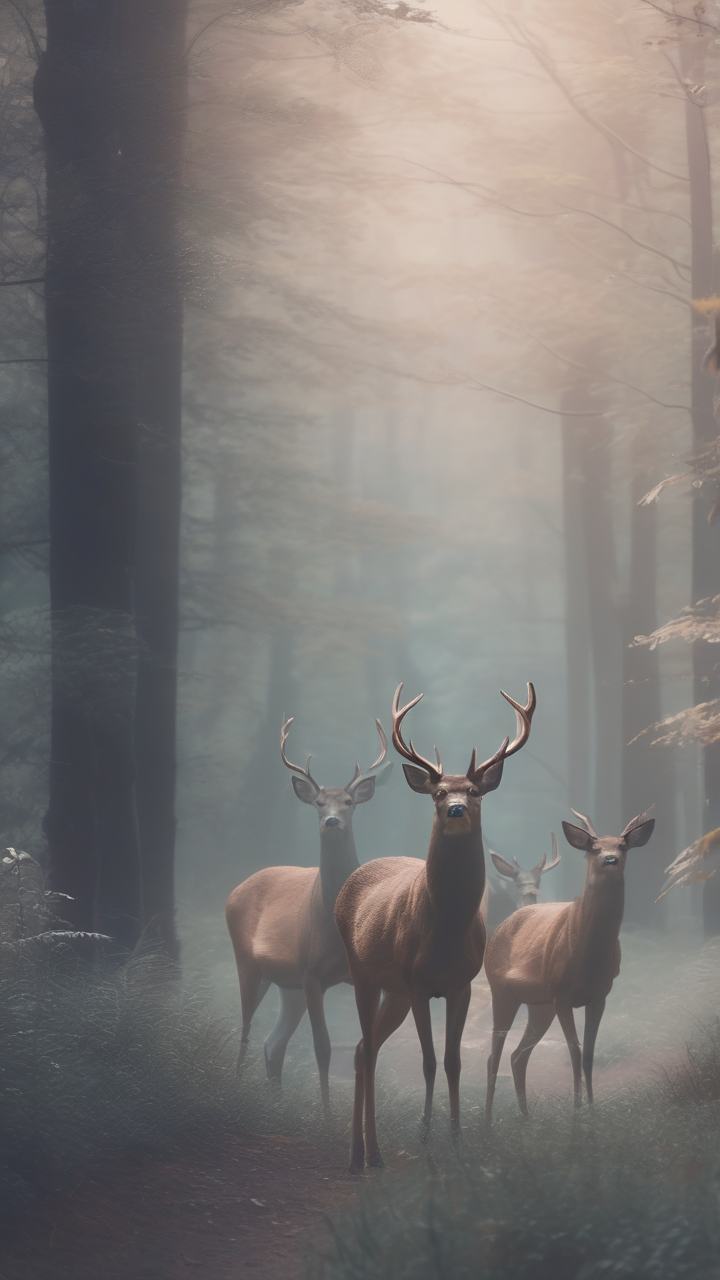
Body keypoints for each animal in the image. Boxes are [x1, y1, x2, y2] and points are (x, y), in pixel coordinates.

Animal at [225, 715, 392, 1108]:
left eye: (348, 801)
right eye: (318, 803)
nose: (331, 821)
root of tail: (234, 891)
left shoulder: (364, 975)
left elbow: (370, 1046)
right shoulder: (312, 972)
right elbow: (323, 1048)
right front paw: (327, 1114)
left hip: (288, 984)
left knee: (273, 1043)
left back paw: (276, 1104)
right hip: (250, 963)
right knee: (246, 1030)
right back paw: (237, 1092)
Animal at [334, 681, 536, 1173]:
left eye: (475, 790)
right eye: (438, 792)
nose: (458, 809)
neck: (443, 930)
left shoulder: (460, 984)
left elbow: (452, 1061)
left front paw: (458, 1141)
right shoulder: (419, 981)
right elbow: (427, 1061)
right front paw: (425, 1136)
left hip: (394, 991)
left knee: (364, 1050)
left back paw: (364, 1152)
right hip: (364, 973)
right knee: (367, 1050)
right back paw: (366, 1154)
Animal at [483, 807, 655, 1128]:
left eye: (622, 846)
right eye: (594, 848)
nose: (610, 859)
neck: (586, 955)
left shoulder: (600, 995)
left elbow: (588, 1053)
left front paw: (592, 1113)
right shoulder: (562, 994)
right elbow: (574, 1051)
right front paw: (576, 1115)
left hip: (540, 1006)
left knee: (517, 1054)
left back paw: (526, 1118)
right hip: (501, 990)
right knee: (494, 1054)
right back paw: (486, 1124)